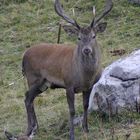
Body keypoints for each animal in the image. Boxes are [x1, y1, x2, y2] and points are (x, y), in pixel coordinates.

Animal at [22, 0, 114, 139]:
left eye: (94, 36)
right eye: (79, 37)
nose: (86, 50)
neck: (85, 77)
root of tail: (24, 56)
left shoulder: (89, 86)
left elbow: (85, 106)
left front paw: (86, 129)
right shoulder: (69, 84)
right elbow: (72, 110)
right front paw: (72, 134)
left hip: (44, 84)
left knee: (30, 98)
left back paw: (36, 128)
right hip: (33, 78)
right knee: (27, 98)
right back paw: (29, 129)